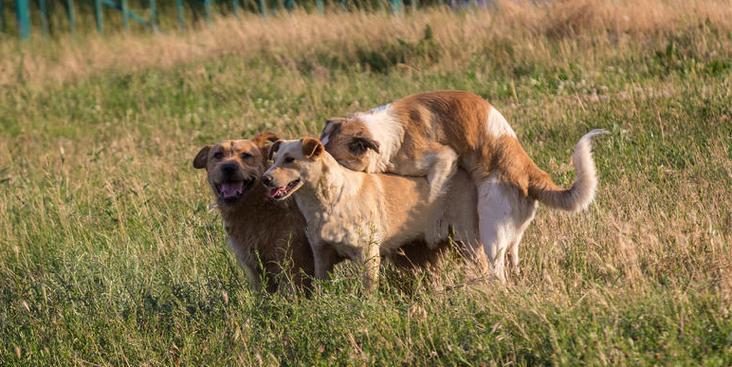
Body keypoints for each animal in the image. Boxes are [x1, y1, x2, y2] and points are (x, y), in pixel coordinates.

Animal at [260, 137, 484, 292]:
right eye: (274, 159)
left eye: (290, 159)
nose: (264, 179)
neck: (327, 202)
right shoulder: (322, 255)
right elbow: (321, 289)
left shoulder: (368, 255)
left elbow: (368, 294)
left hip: (468, 240)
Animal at [318, 90, 608, 280]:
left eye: (333, 159)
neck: (386, 132)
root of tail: (530, 174)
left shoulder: (440, 157)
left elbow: (435, 186)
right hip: (511, 229)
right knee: (513, 253)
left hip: (491, 224)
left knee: (496, 269)